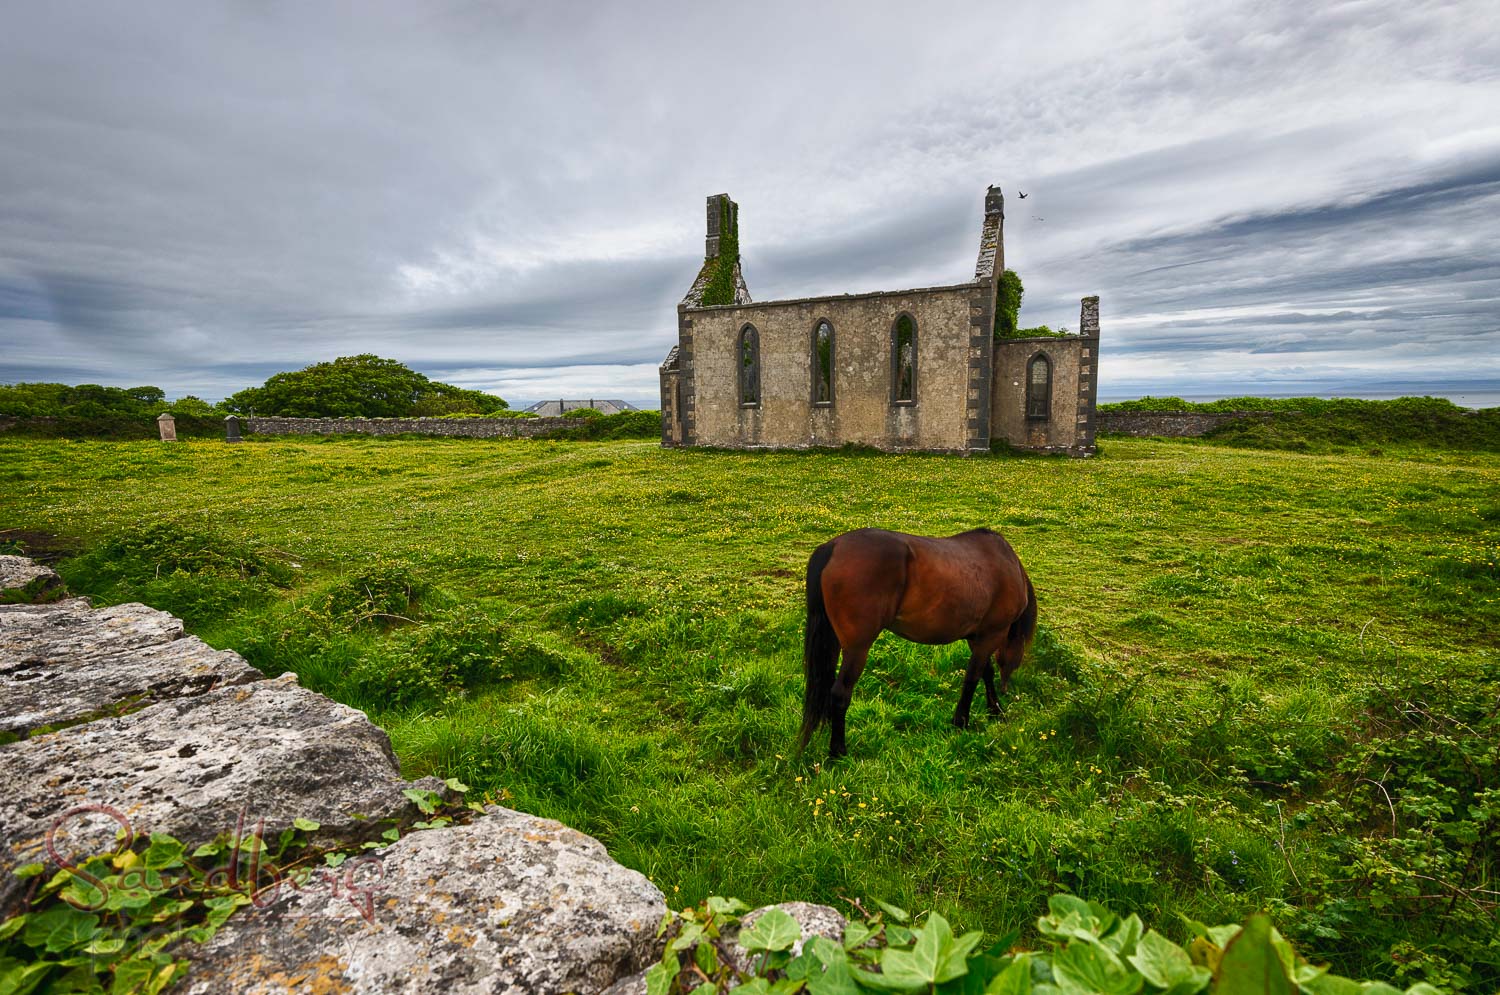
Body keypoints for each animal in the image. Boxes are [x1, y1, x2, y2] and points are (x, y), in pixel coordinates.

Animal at [804, 528, 1038, 762]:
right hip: (857, 650)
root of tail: (833, 546)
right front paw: (962, 721)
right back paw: (838, 751)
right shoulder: (992, 635)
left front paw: (994, 709)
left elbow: (985, 673)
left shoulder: (977, 637)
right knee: (840, 694)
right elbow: (973, 677)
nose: (1006, 689)